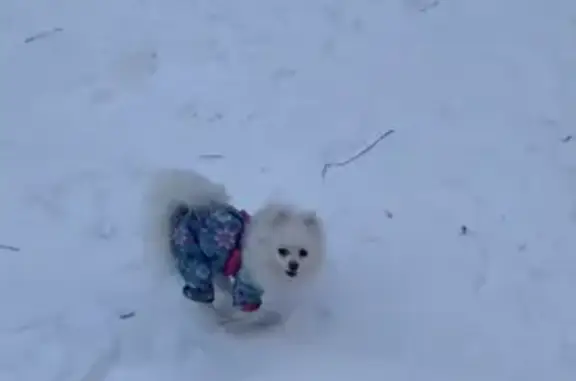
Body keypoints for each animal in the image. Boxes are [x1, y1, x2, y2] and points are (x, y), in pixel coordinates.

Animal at [140, 168, 326, 332]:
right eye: (282, 251)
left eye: (303, 253)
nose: (294, 265)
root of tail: (182, 211)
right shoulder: (247, 286)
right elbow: (248, 313)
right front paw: (234, 323)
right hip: (195, 266)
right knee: (202, 296)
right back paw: (212, 320)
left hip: (215, 267)